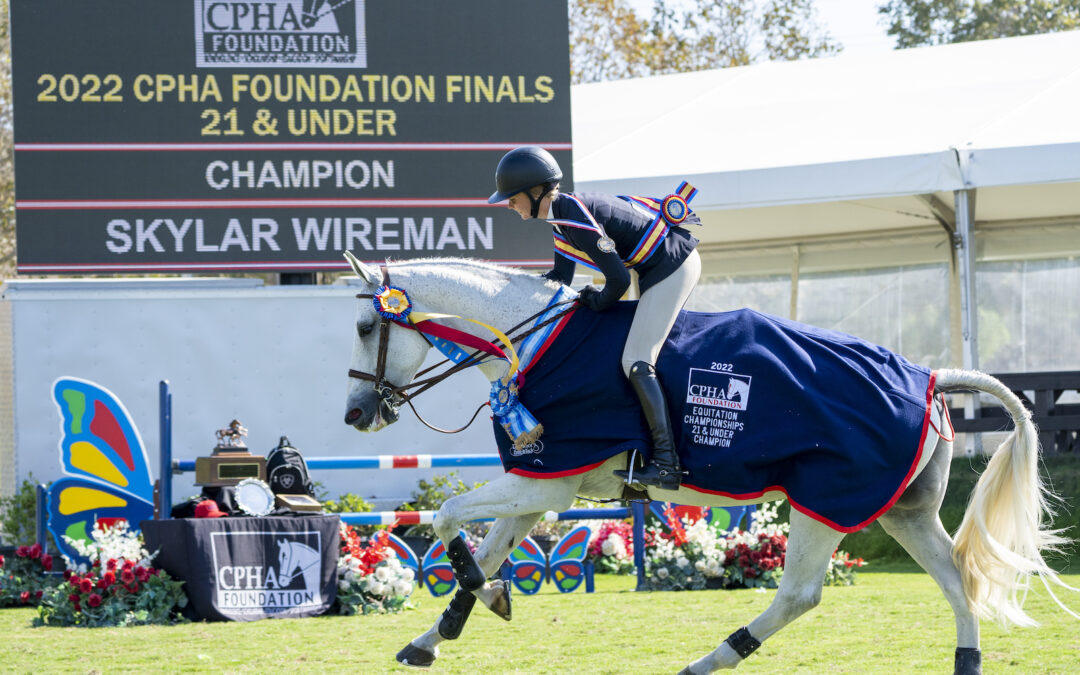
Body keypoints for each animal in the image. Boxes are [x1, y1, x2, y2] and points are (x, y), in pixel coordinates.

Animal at [341, 254, 1067, 669]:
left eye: (364, 327)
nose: (355, 414)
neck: (532, 341)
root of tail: (930, 376)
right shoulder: (537, 483)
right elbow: (484, 552)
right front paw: (442, 630)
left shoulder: (547, 480)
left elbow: (446, 517)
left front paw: (479, 602)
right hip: (903, 511)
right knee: (955, 577)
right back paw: (966, 658)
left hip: (825, 500)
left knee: (799, 593)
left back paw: (712, 658)